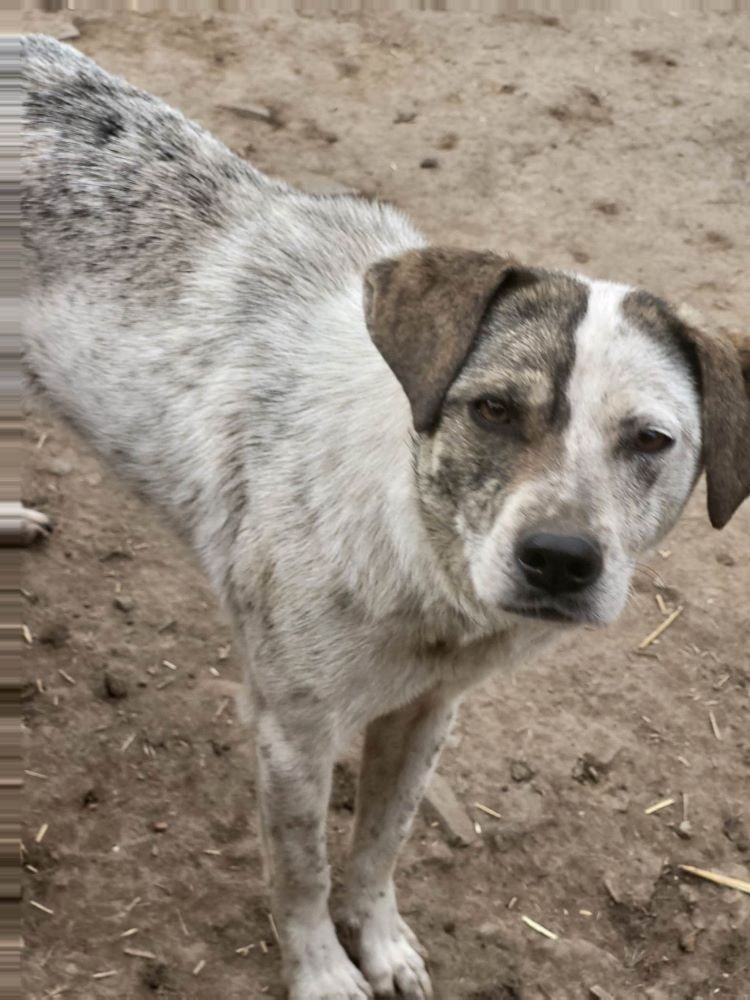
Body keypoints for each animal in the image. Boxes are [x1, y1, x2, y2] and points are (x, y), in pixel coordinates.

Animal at [22, 33, 750, 1000]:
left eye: (651, 440)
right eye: (493, 410)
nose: (561, 560)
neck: (418, 547)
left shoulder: (429, 711)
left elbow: (379, 845)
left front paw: (380, 941)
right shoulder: (291, 729)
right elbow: (302, 869)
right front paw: (324, 972)